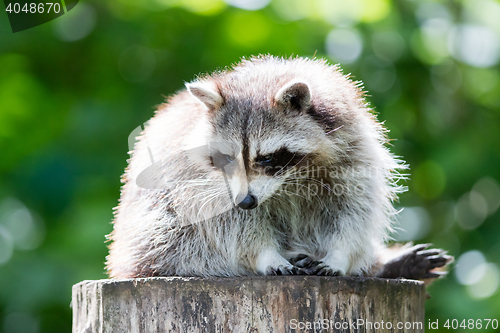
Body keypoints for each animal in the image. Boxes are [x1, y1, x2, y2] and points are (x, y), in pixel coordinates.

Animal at [106, 55, 454, 278]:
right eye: (227, 158)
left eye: (267, 158)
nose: (246, 201)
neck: (291, 179)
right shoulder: (201, 182)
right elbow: (229, 225)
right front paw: (265, 254)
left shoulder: (354, 153)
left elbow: (353, 210)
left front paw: (340, 254)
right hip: (150, 236)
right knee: (182, 241)